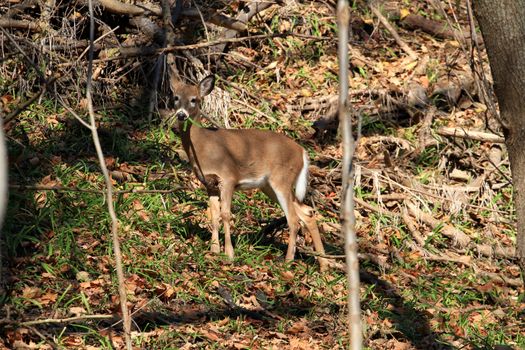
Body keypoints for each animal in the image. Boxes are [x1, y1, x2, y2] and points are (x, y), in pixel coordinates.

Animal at [165, 74, 328, 270]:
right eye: (175, 97)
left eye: (194, 99)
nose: (181, 115)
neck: (202, 145)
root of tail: (302, 152)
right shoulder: (209, 183)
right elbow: (214, 215)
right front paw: (214, 250)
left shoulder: (228, 177)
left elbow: (226, 214)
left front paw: (229, 254)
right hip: (269, 186)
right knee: (307, 212)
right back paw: (324, 264)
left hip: (282, 179)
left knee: (294, 219)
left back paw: (288, 262)